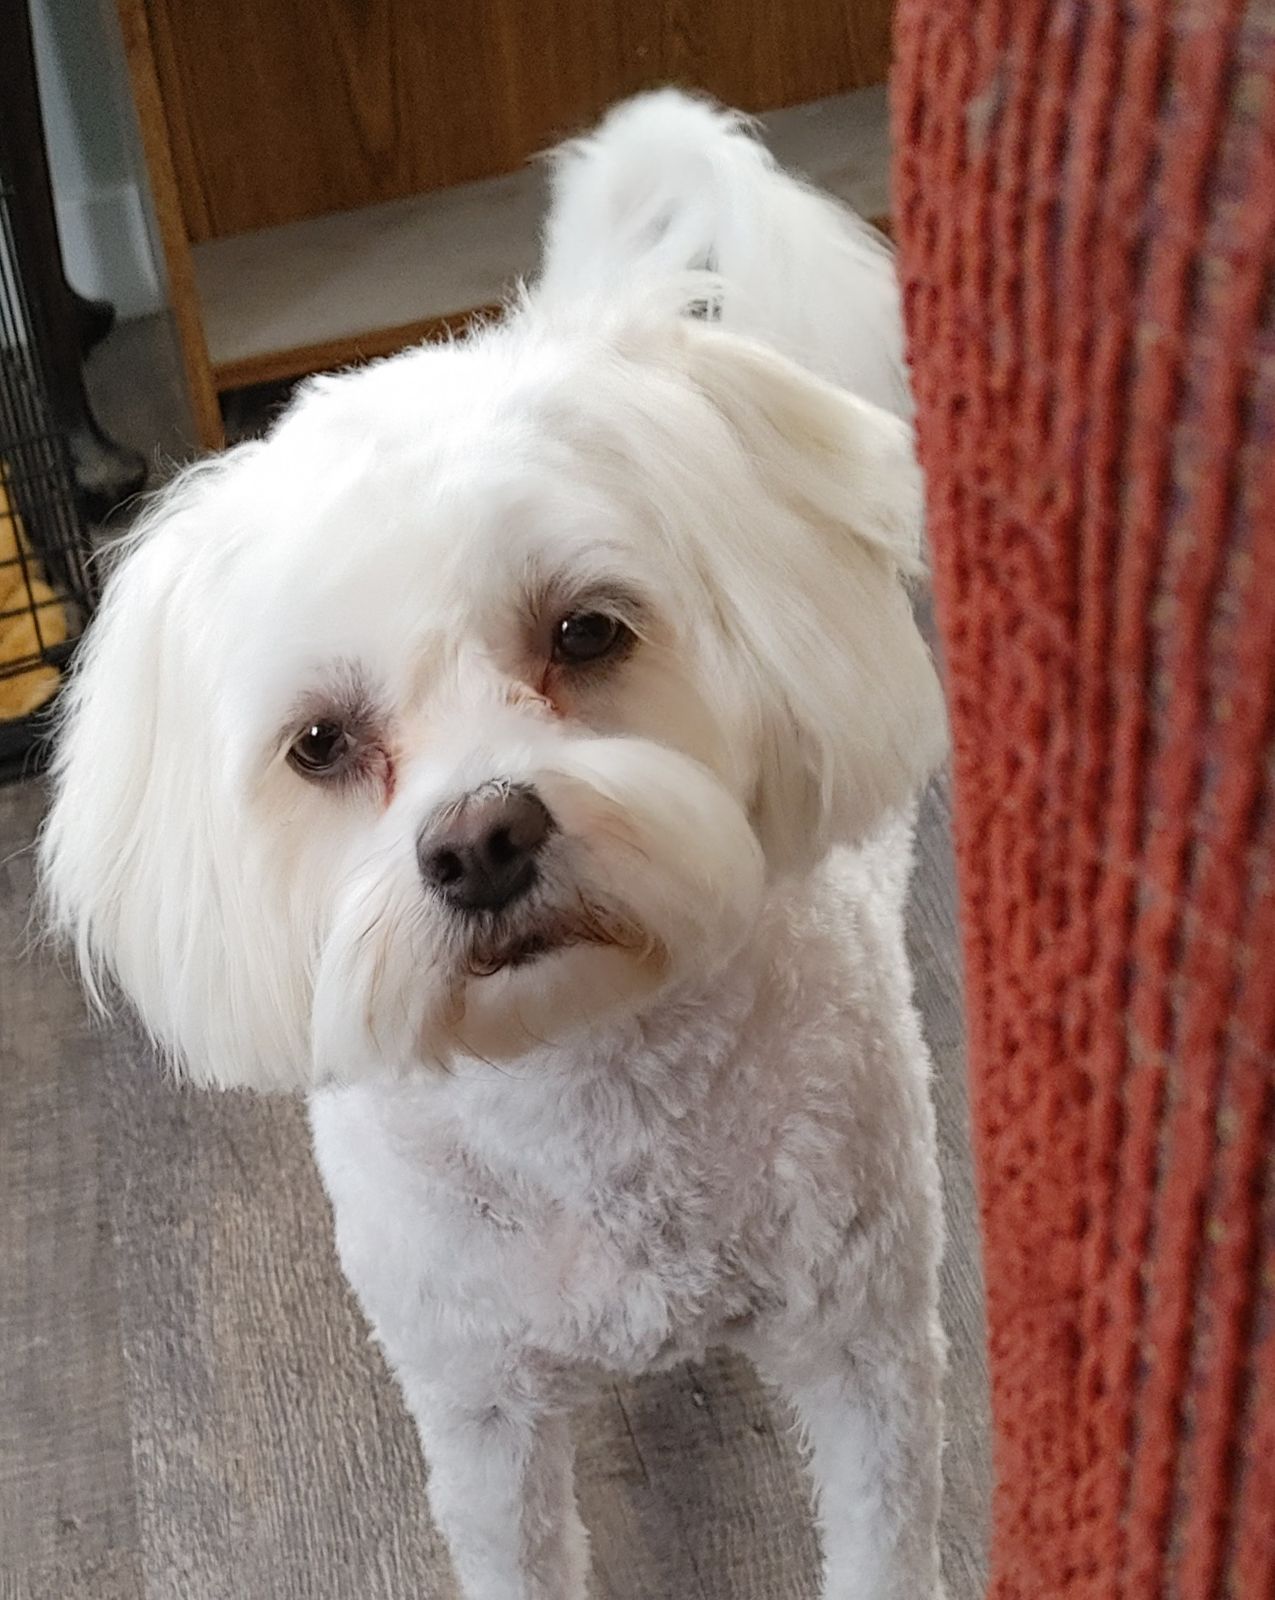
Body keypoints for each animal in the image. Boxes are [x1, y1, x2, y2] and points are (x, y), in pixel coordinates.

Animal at [40, 91, 948, 1600]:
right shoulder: (478, 1417)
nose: (479, 842)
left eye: (584, 630)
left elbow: (884, 1537)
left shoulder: (862, 1347)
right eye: (319, 743)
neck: (583, 1086)